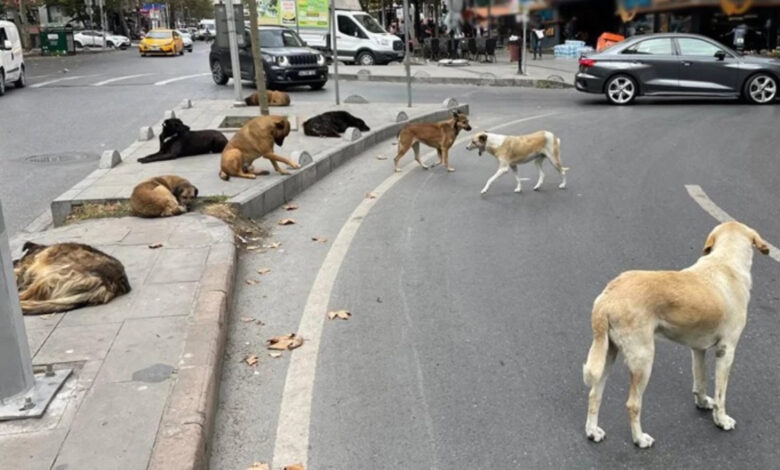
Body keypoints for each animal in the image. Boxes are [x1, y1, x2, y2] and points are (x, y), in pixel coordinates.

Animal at [580, 222, 772, 450]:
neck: (725, 262)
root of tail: (607, 297)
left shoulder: (698, 349)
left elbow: (700, 381)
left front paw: (703, 403)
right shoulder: (726, 351)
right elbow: (721, 394)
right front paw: (721, 420)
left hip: (607, 354)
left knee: (594, 394)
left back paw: (592, 431)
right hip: (643, 360)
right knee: (632, 404)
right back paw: (640, 439)